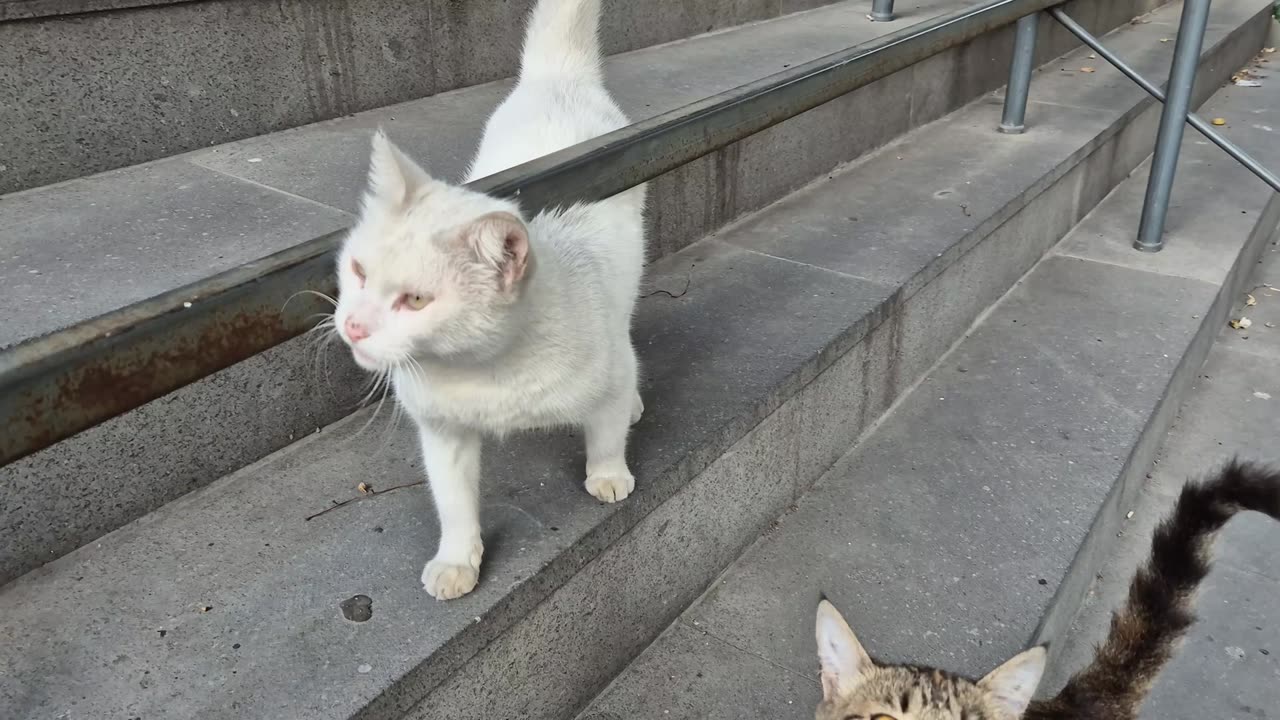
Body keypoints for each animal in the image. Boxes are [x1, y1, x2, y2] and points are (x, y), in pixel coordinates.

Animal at [335, 0, 645, 597]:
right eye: (358, 271)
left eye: (415, 300)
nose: (354, 325)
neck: (481, 369)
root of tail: (556, 79)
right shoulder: (442, 431)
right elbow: (454, 502)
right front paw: (458, 561)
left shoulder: (608, 377)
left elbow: (606, 430)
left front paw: (608, 474)